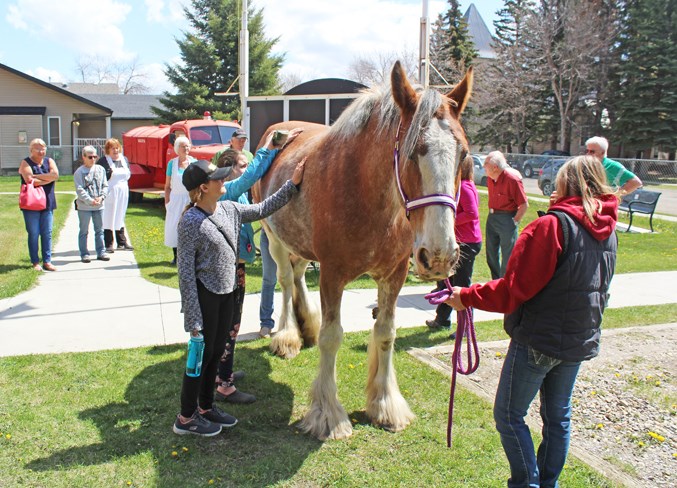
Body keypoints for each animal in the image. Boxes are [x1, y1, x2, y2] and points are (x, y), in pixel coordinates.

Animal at [256, 62, 472, 442]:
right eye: (413, 151)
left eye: (463, 155)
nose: (439, 255)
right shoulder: (332, 274)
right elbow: (332, 337)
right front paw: (328, 415)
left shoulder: (394, 274)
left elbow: (385, 333)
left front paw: (385, 405)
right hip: (274, 238)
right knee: (283, 280)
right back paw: (288, 335)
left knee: (297, 276)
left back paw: (305, 323)